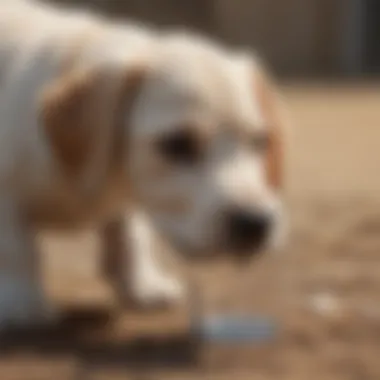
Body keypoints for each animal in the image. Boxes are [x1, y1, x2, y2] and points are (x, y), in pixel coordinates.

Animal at [0, 0, 286, 326]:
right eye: (178, 144)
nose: (255, 224)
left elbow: (132, 235)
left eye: (260, 141)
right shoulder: (5, 195)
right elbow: (15, 248)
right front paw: (22, 303)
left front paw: (142, 286)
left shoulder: (127, 196)